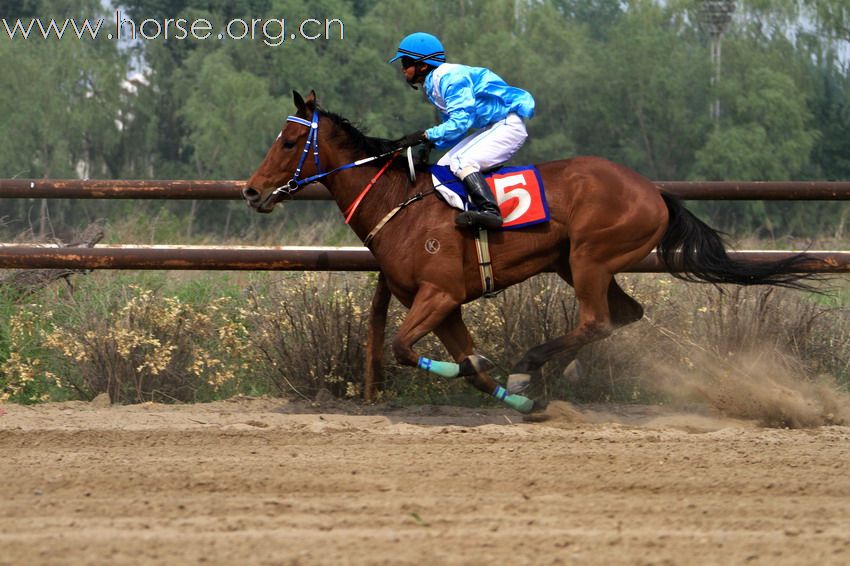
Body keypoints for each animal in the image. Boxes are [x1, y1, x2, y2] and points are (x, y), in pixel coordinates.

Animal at [242, 91, 812, 414]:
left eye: (289, 144)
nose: (251, 191)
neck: (398, 205)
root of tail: (653, 191)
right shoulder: (445, 305)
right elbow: (469, 365)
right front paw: (514, 398)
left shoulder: (437, 294)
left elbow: (406, 348)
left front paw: (505, 377)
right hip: (577, 264)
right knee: (623, 316)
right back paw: (548, 379)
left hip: (589, 259)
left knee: (597, 321)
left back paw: (532, 365)